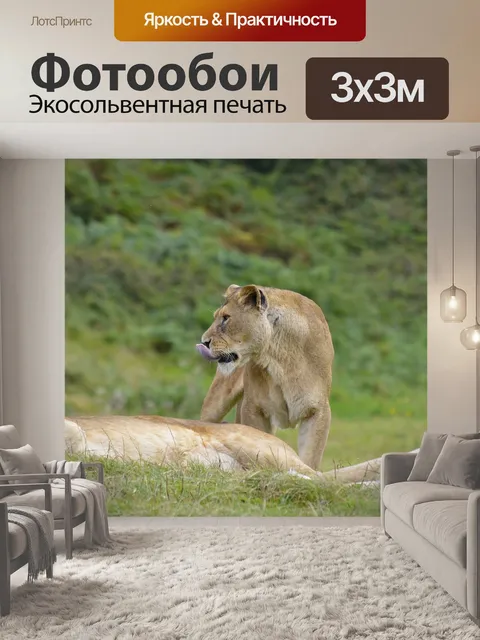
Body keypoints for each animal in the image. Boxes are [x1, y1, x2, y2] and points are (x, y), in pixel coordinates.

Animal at [196, 284, 334, 471]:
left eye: (226, 318)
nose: (204, 342)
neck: (281, 357)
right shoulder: (254, 407)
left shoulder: (318, 411)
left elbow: (310, 459)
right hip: (216, 403)